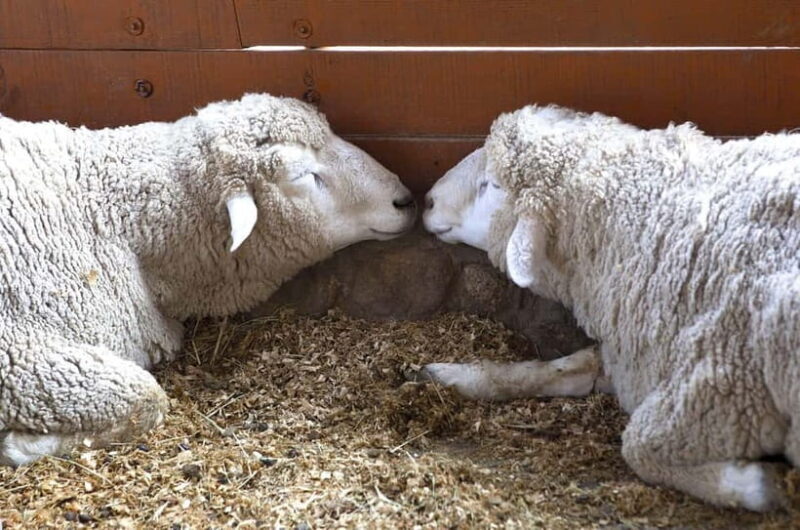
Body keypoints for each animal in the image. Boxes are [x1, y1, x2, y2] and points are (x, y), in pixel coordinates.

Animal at [422, 104, 800, 511]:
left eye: (491, 185)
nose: (428, 200)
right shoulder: (635, 359)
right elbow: (564, 368)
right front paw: (450, 375)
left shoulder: (724, 383)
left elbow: (638, 448)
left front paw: (764, 484)